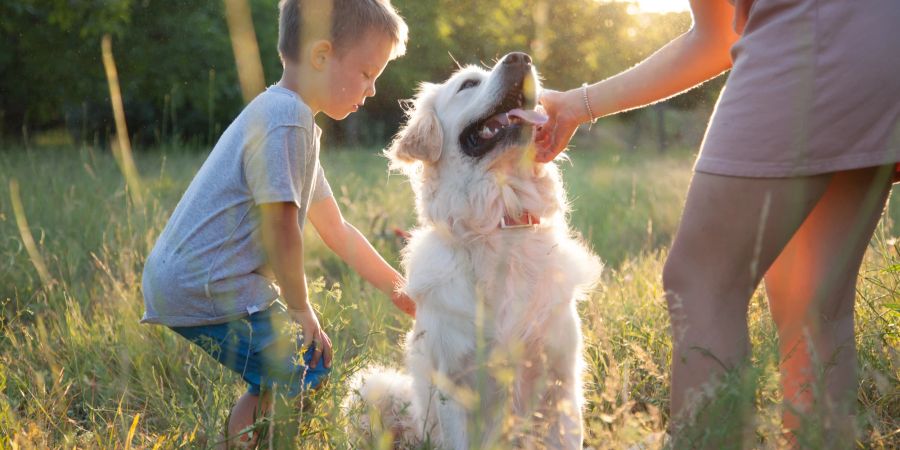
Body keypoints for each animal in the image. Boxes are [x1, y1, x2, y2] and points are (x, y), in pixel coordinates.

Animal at [348, 53, 600, 450]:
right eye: (467, 84)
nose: (520, 58)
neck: (500, 220)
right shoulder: (454, 385)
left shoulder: (561, 379)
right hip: (375, 387)